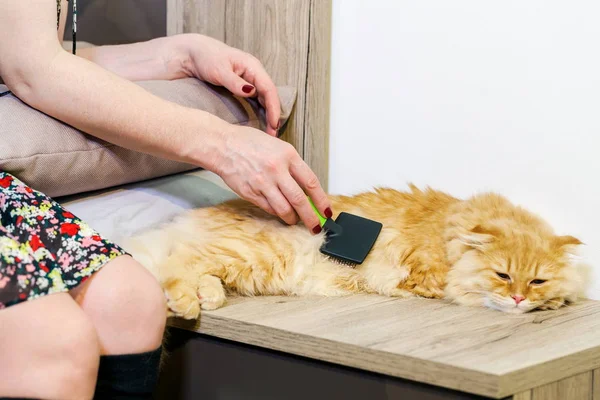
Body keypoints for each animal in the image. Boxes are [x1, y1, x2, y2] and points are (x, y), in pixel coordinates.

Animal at [125, 184, 584, 318]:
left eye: (536, 280)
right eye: (503, 275)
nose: (519, 298)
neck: (450, 233)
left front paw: (554, 300)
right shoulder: (426, 273)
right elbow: (445, 290)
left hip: (242, 266)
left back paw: (209, 298)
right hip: (250, 255)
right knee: (175, 265)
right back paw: (186, 304)